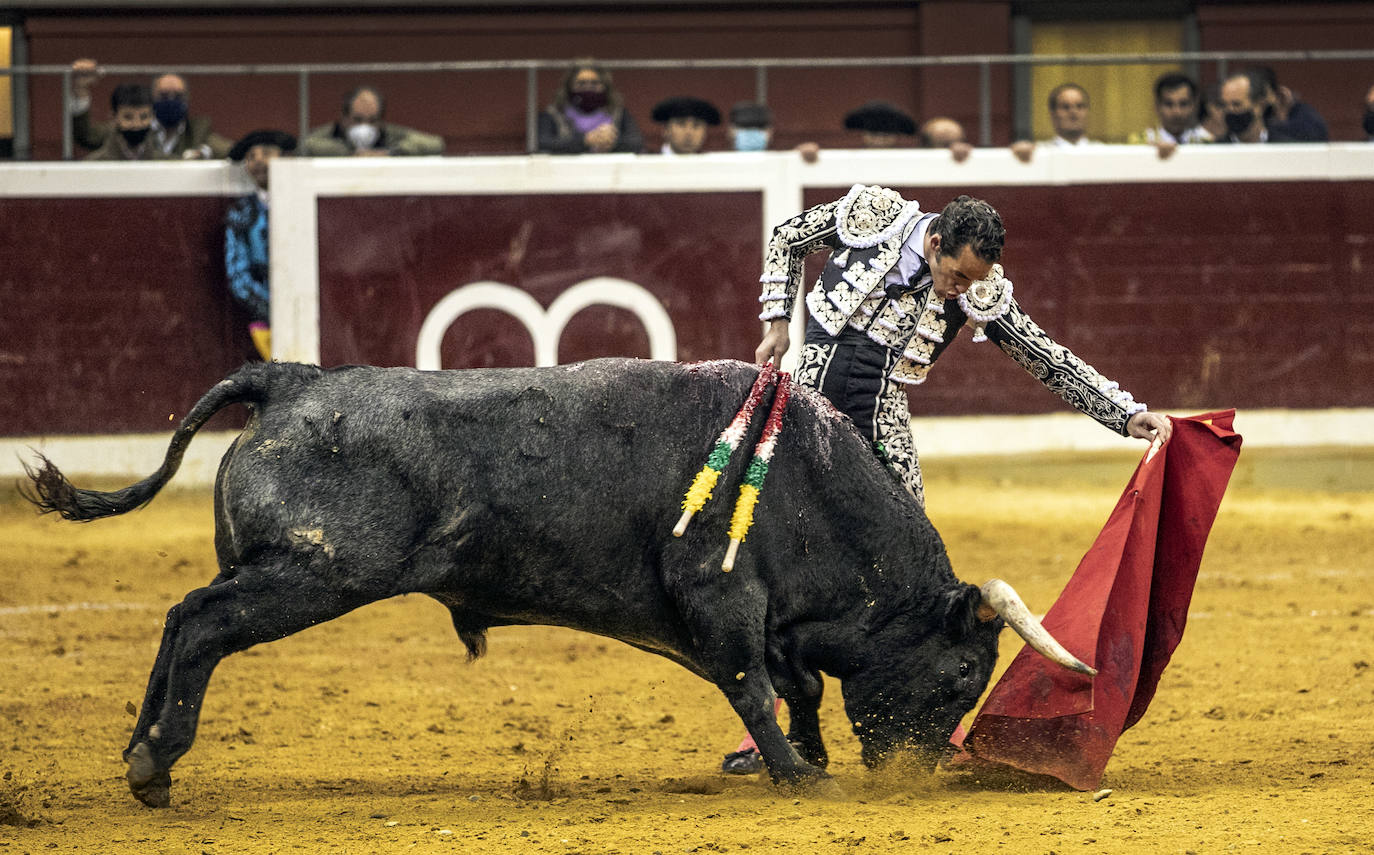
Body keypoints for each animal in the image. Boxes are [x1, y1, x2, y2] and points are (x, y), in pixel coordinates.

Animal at [24, 357, 1093, 808]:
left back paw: (140, 752)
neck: (808, 481)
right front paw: (799, 776)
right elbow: (756, 684)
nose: (920, 772)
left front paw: (804, 758)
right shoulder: (723, 602)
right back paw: (155, 766)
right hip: (309, 572)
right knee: (202, 624)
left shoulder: (763, 621)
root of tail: (291, 376)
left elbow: (792, 686)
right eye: (961, 676)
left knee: (179, 618)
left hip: (284, 572)